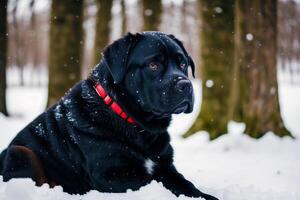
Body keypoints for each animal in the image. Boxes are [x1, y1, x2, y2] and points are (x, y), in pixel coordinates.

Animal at [0, 32, 217, 199]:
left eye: (182, 64)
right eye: (153, 65)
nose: (185, 85)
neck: (138, 126)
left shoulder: (165, 165)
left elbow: (185, 184)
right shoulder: (109, 175)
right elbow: (152, 181)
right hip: (20, 152)